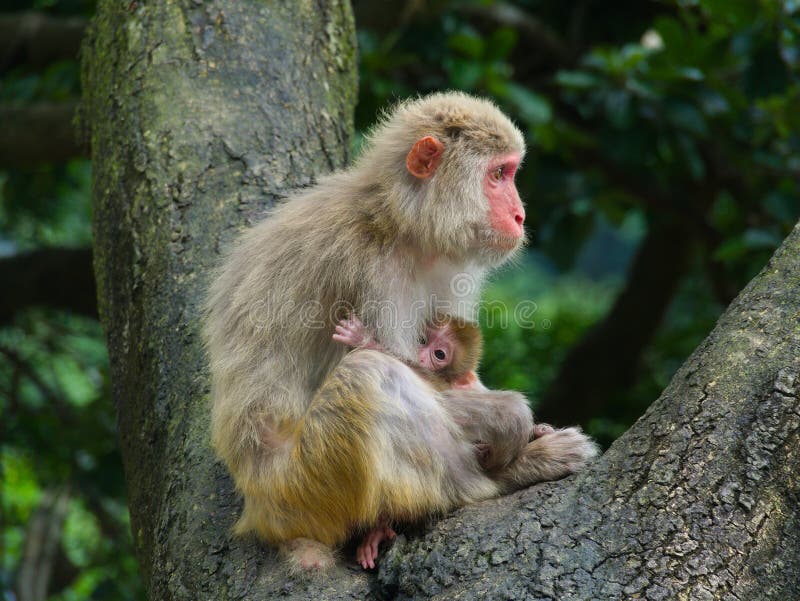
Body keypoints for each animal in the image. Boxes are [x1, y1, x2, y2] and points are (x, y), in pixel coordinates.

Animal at [203, 92, 596, 568]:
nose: (520, 215)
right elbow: (405, 365)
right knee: (370, 375)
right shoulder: (375, 273)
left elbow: (457, 368)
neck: (399, 222)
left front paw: (525, 425)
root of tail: (257, 510)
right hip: (305, 486)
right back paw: (494, 479)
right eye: (499, 175)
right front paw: (511, 418)